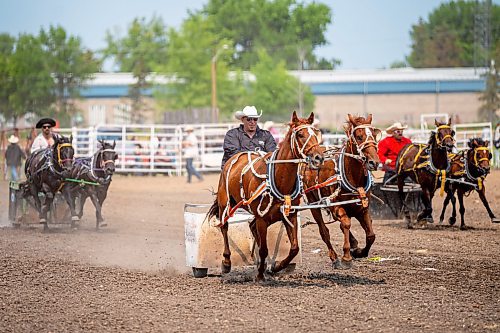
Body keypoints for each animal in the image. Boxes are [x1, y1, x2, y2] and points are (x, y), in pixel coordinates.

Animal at [207, 111, 324, 280]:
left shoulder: (290, 215)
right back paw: (227, 263)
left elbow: (294, 248)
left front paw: (276, 266)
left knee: (251, 226)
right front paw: (260, 275)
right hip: (225, 204)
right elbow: (263, 249)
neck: (279, 179)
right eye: (300, 134)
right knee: (224, 226)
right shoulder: (262, 219)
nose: (319, 157)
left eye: (315, 133)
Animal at [302, 114, 380, 268]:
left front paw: (359, 252)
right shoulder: (336, 207)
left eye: (374, 135)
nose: (374, 162)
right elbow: (345, 223)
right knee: (324, 231)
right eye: (359, 136)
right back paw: (334, 257)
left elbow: (370, 235)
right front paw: (346, 257)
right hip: (314, 204)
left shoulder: (363, 208)